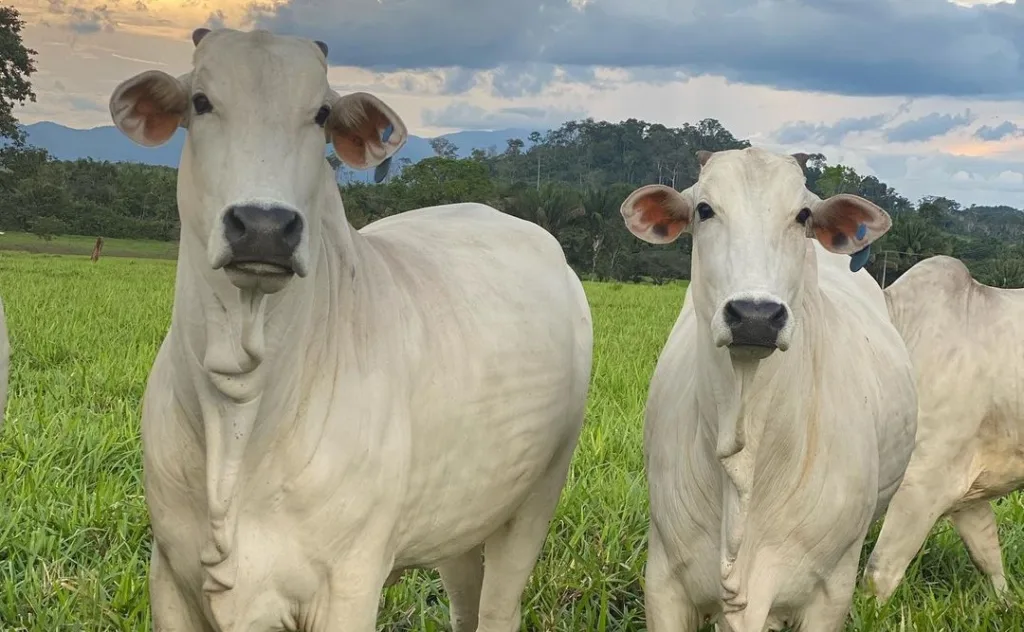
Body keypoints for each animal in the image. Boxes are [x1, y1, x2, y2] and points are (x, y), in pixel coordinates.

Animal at [108, 27, 593, 626]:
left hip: (535, 498)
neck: (238, 407)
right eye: (201, 102)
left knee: (498, 610)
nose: (264, 226)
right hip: (461, 521)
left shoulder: (349, 584)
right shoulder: (170, 576)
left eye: (321, 113)